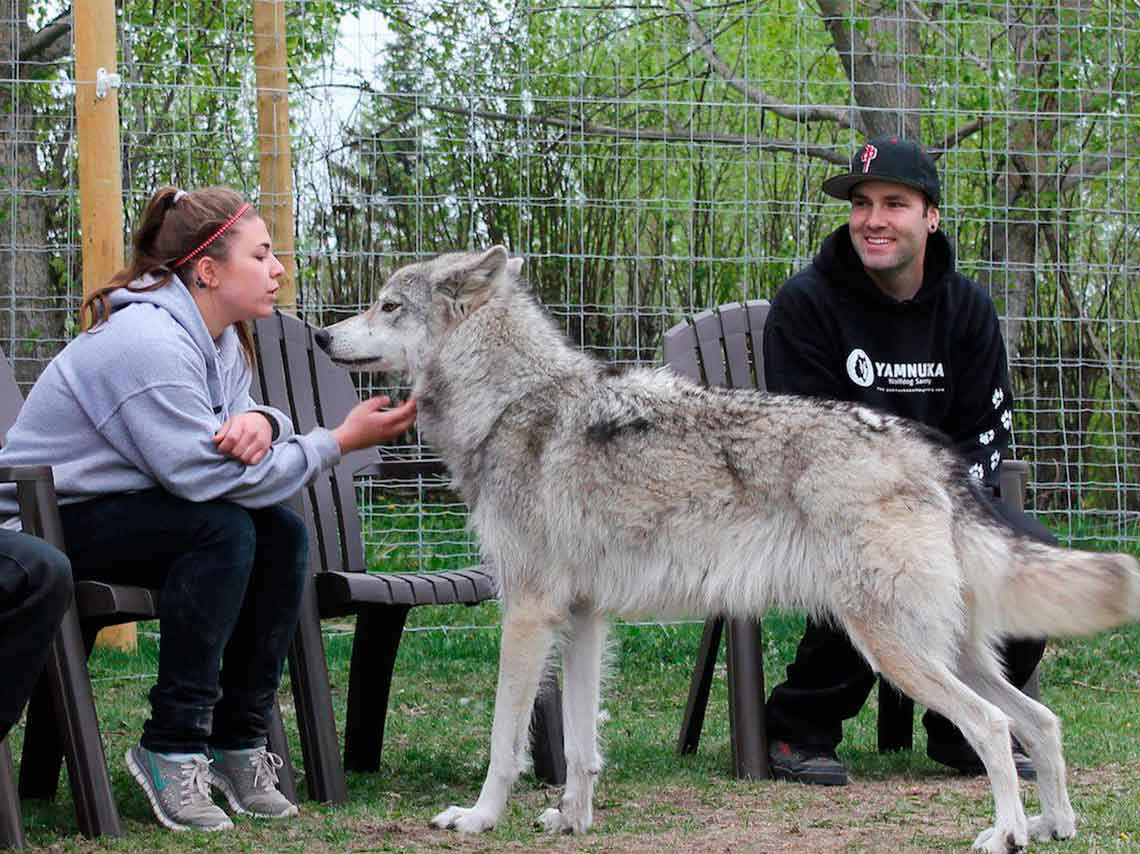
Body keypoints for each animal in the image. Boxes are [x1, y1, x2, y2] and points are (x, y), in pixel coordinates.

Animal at [319, 242, 1140, 848]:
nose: (323, 334)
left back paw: (1006, 834)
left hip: (897, 650)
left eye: (388, 305)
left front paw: (479, 819)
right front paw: (573, 820)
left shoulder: (525, 613)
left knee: (996, 727)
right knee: (1043, 722)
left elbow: (503, 742)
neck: (511, 402)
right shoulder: (582, 619)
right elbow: (581, 746)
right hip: (948, 651)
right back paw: (1055, 825)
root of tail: (928, 452)